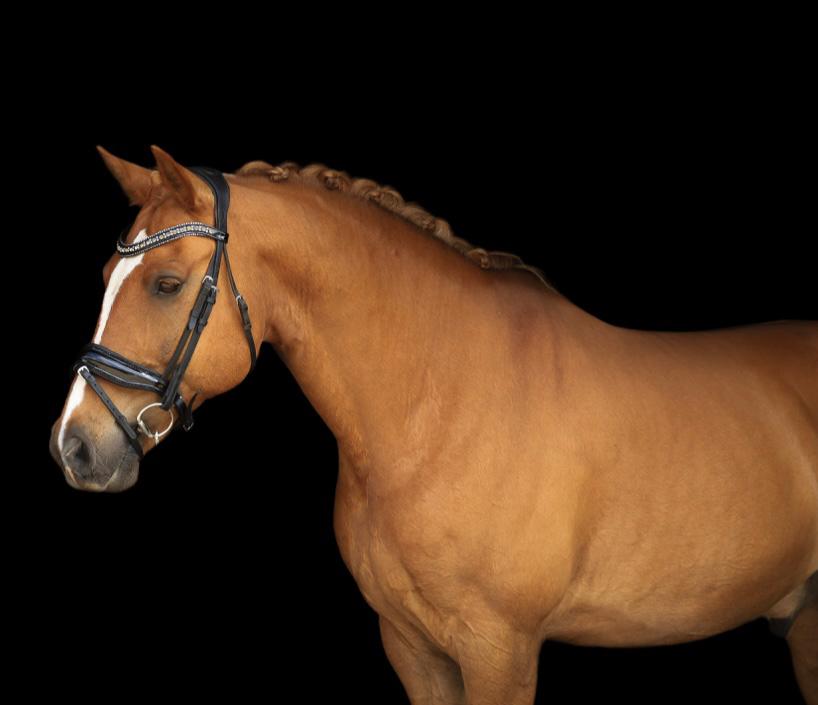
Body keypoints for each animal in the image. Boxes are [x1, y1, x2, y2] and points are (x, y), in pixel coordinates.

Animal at [50, 146, 818, 705]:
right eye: (106, 275)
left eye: (167, 284)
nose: (75, 445)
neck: (441, 409)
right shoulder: (412, 647)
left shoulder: (500, 652)